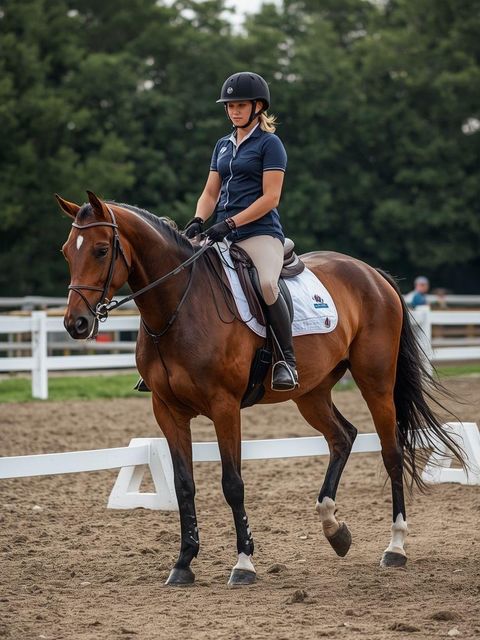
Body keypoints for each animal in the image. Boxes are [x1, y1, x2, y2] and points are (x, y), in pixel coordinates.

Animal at [56, 190, 463, 586]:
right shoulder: (167, 410)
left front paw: (244, 564)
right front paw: (183, 564)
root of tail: (371, 273)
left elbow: (232, 483)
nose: (76, 324)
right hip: (311, 393)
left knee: (391, 453)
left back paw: (395, 547)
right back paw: (335, 529)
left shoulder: (224, 406)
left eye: (101, 250)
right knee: (342, 437)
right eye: (66, 251)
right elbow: (184, 485)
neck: (178, 306)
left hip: (375, 382)